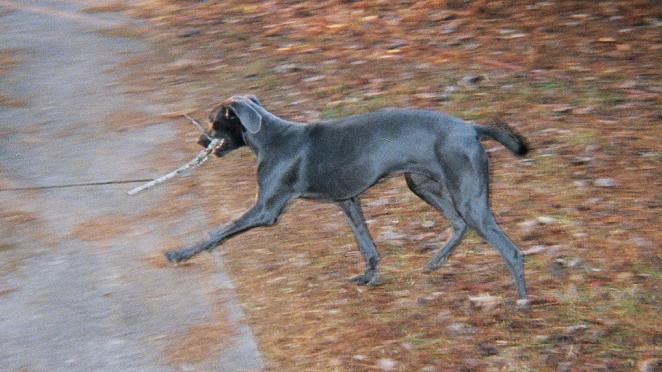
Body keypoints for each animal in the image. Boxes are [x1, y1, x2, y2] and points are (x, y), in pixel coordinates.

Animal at [167, 95, 536, 300]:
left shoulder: (265, 210)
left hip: (468, 198)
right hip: (421, 184)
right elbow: (366, 244)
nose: (200, 142)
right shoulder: (348, 201)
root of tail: (471, 128)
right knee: (459, 224)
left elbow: (217, 231)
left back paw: (520, 301)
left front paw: (181, 253)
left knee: (511, 251)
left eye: (214, 122)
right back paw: (435, 262)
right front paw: (369, 277)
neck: (272, 138)